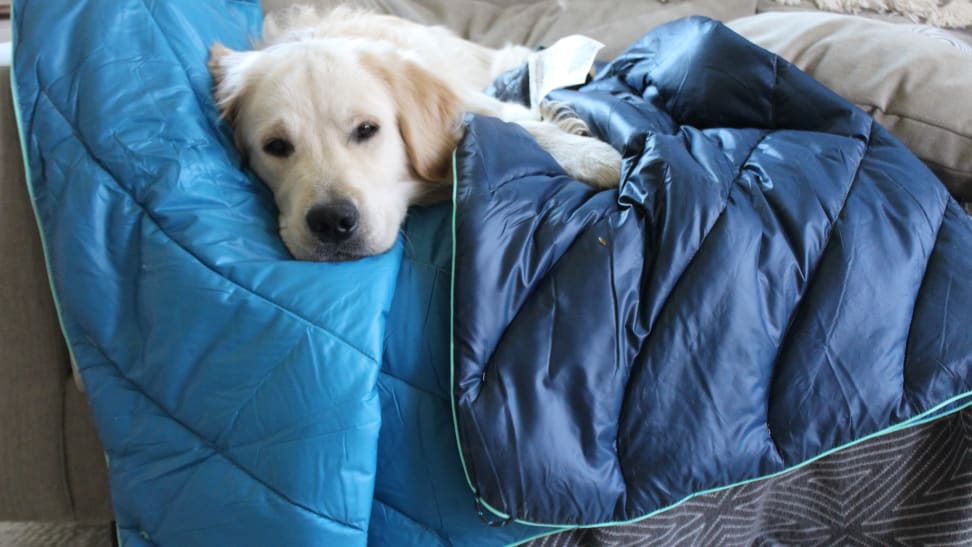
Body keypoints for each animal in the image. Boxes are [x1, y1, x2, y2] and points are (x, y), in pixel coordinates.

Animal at [213, 5, 624, 264]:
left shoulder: (467, 98)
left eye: (367, 129)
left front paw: (594, 156)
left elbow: (517, 121)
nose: (332, 222)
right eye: (276, 146)